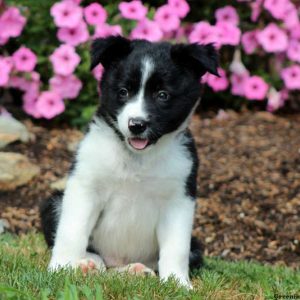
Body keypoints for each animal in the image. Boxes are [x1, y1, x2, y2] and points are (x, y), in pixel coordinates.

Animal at [40, 35, 218, 288]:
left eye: (162, 95)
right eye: (123, 92)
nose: (136, 124)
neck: (138, 159)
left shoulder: (179, 198)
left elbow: (176, 247)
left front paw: (177, 283)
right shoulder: (85, 185)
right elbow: (71, 231)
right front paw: (61, 268)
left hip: (196, 244)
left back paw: (134, 270)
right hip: (54, 203)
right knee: (98, 257)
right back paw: (88, 265)